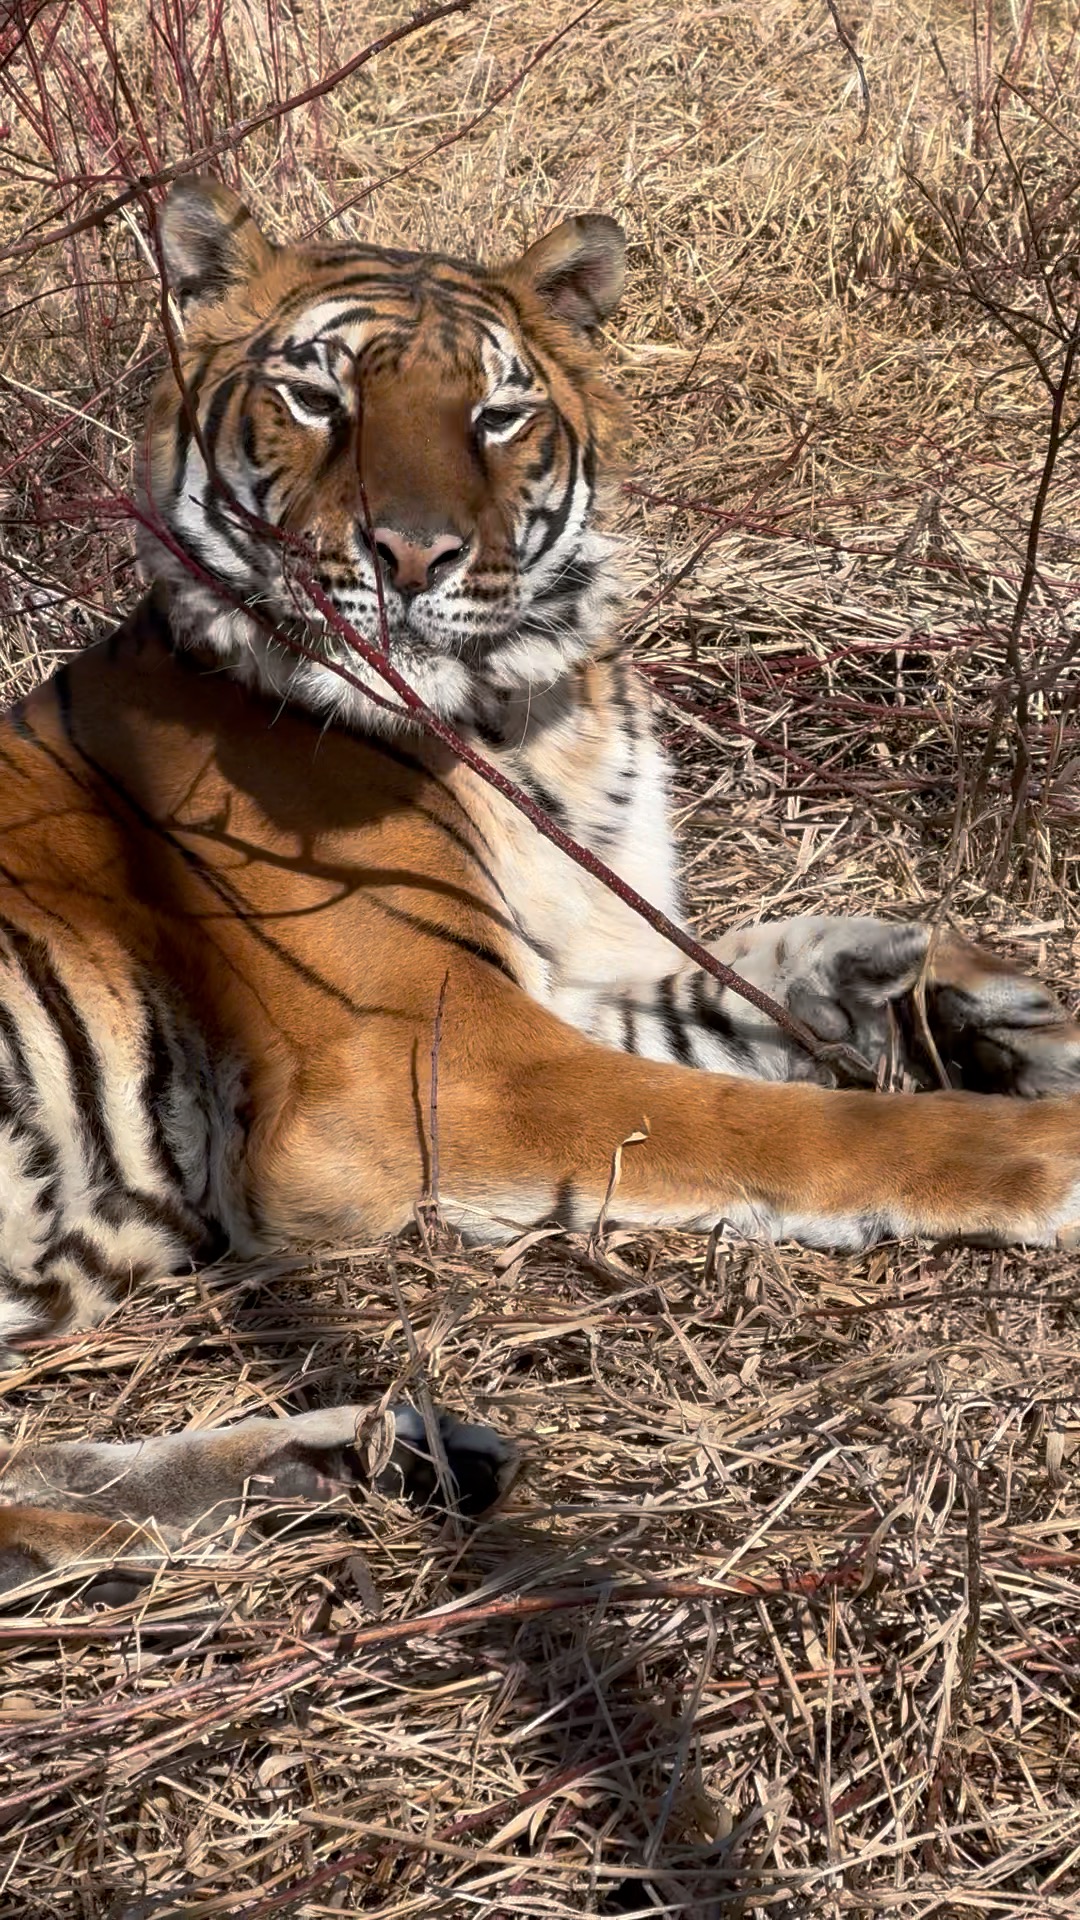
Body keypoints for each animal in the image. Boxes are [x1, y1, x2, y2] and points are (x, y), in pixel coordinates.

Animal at [2, 175, 1080, 1593]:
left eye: (496, 414)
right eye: (317, 396)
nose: (410, 557)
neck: (528, 716)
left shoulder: (571, 976)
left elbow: (755, 983)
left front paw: (975, 1005)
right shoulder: (434, 1061)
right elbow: (782, 1128)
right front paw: (1047, 1142)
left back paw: (372, 1463)